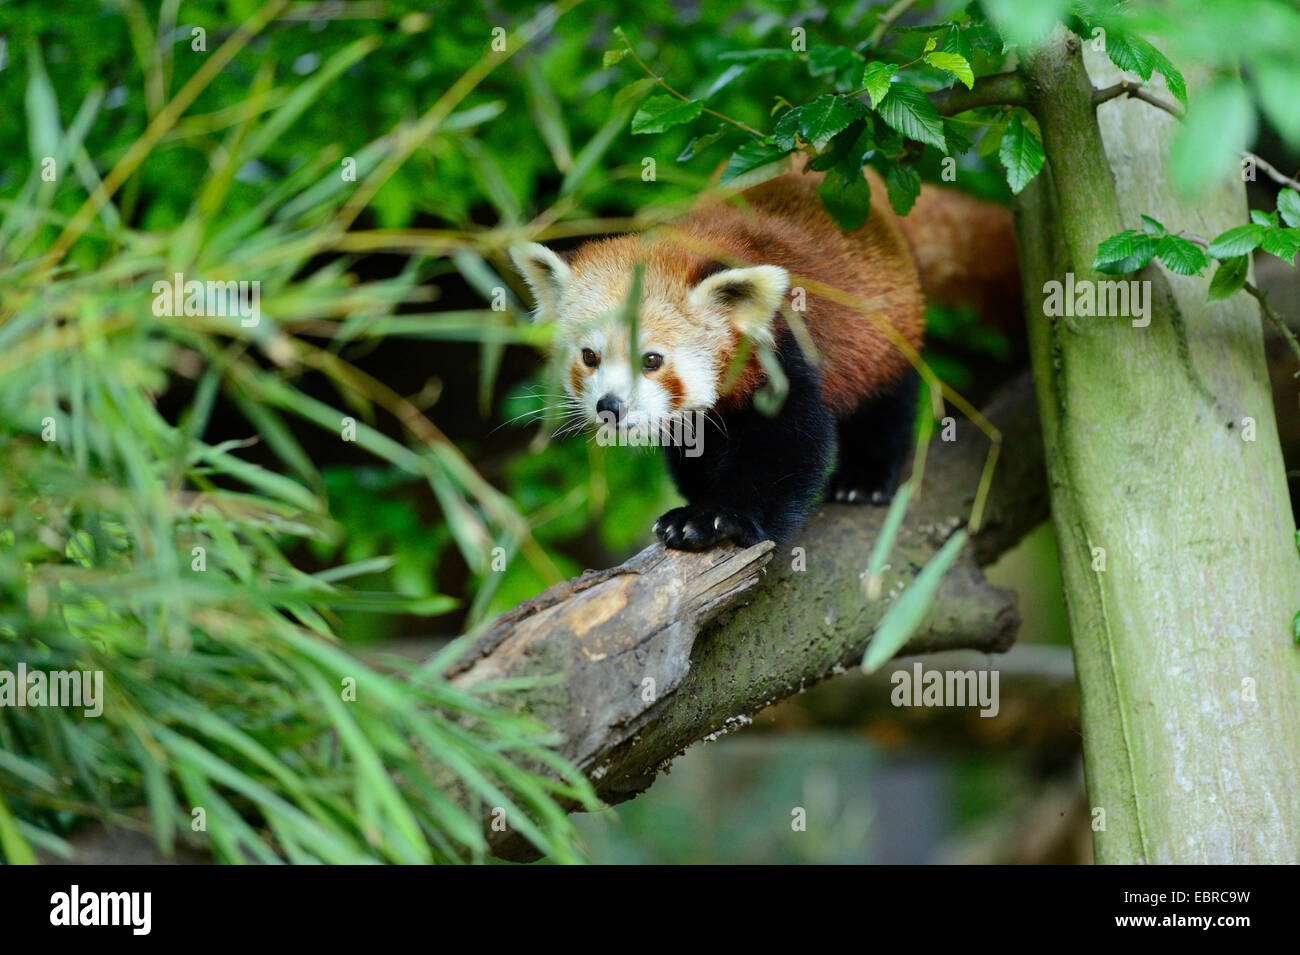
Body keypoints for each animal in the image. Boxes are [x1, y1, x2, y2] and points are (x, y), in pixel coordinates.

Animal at [506, 167, 1013, 548]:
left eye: (651, 360)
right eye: (590, 356)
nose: (610, 407)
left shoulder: (786, 354)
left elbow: (788, 449)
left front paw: (713, 519)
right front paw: (695, 502)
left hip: (885, 329)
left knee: (887, 403)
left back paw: (865, 477)